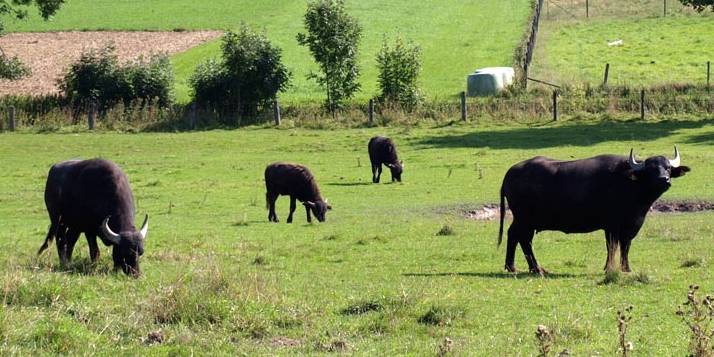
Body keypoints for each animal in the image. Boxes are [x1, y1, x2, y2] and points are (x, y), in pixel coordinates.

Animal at [498, 146, 688, 274]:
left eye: (668, 168)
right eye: (650, 169)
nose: (664, 179)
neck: (628, 183)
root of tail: (510, 173)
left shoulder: (629, 226)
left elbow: (626, 246)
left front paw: (626, 268)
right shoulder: (611, 226)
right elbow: (612, 246)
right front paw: (609, 268)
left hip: (523, 220)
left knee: (514, 235)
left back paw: (513, 266)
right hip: (525, 219)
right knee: (524, 239)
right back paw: (536, 268)